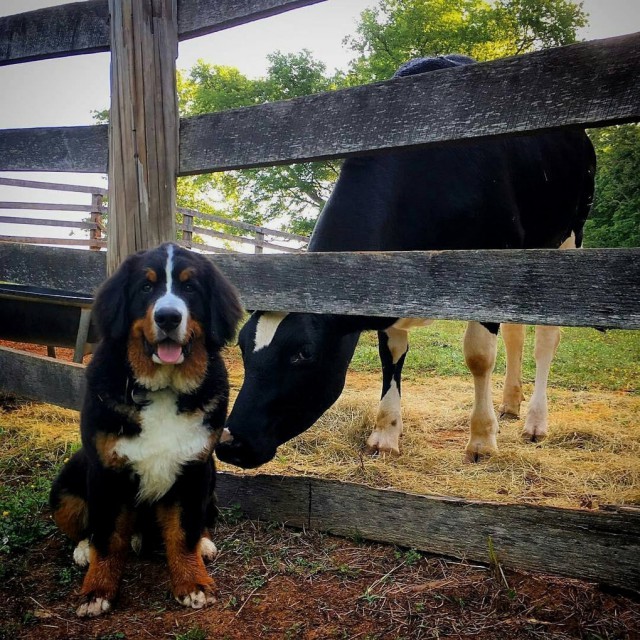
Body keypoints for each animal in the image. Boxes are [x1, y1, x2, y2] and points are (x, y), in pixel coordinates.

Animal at [49, 242, 242, 616]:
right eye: (145, 287)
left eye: (190, 287)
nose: (168, 317)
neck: (162, 388)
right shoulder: (106, 471)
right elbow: (106, 538)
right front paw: (96, 591)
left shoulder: (194, 468)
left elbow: (184, 532)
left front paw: (193, 583)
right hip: (66, 486)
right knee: (85, 526)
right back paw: (83, 549)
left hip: (211, 477)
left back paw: (205, 545)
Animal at [218, 56, 596, 470]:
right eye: (241, 346)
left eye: (303, 354)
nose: (230, 442)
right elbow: (392, 355)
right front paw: (385, 435)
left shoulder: (493, 264)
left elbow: (479, 356)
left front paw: (482, 440)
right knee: (516, 330)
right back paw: (510, 403)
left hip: (568, 236)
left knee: (547, 336)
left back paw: (534, 421)